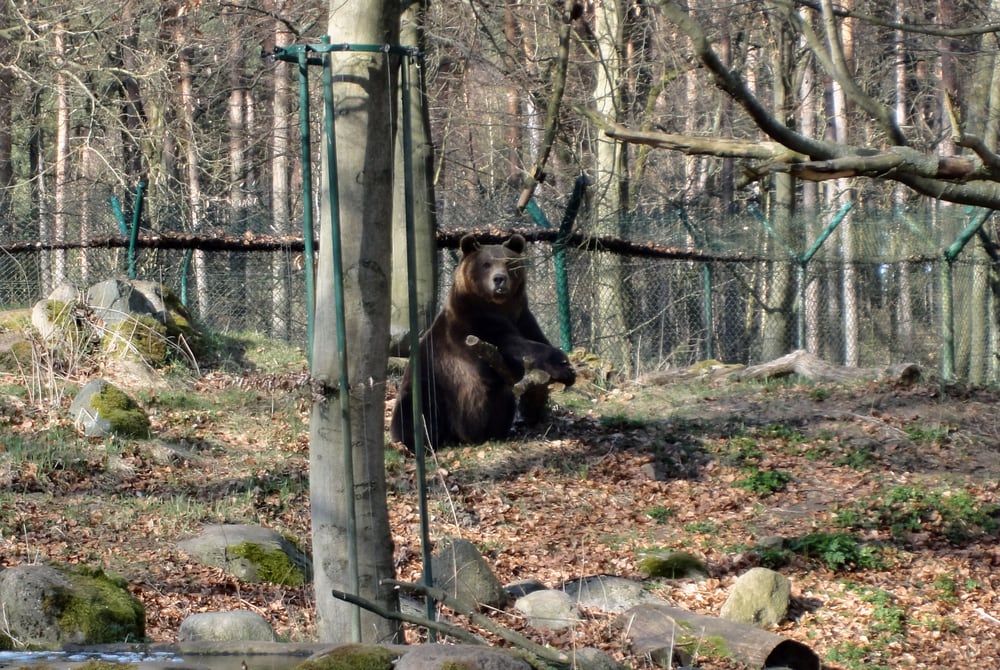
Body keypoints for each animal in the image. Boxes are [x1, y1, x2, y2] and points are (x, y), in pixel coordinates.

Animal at [392, 232, 580, 452]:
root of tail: (459, 436)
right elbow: (513, 345)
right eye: (486, 264)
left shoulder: (522, 317)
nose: (499, 279)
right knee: (416, 411)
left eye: (508, 262)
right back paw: (421, 441)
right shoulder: (474, 324)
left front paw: (567, 372)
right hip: (431, 383)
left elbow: (536, 339)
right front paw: (562, 363)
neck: (499, 307)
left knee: (503, 401)